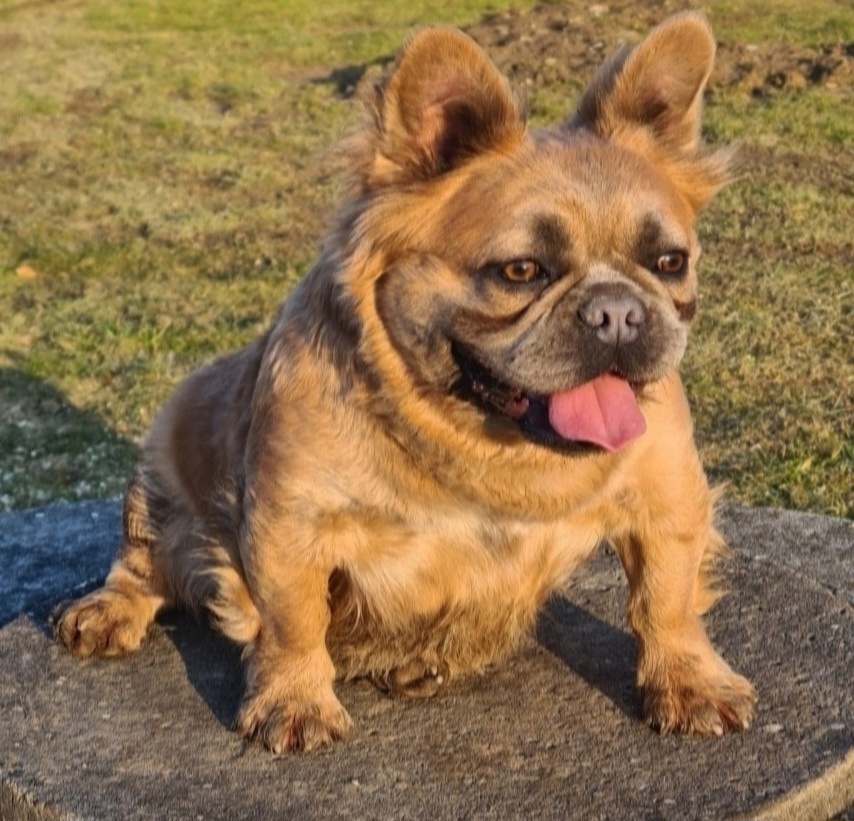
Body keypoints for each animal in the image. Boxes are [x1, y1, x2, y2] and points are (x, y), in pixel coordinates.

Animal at [56, 12, 760, 752]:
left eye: (670, 262)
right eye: (521, 271)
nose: (618, 311)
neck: (487, 443)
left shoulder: (668, 502)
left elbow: (665, 599)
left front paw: (689, 679)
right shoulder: (289, 525)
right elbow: (293, 620)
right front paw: (293, 698)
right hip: (158, 483)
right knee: (143, 564)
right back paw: (107, 610)